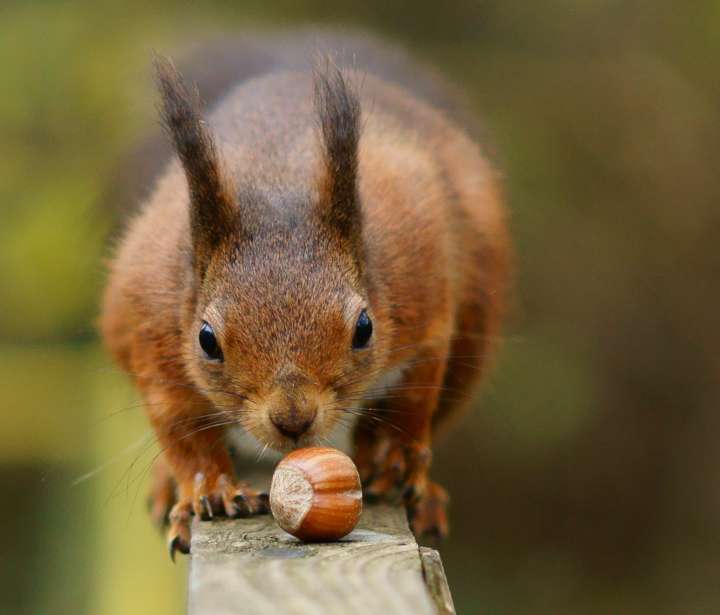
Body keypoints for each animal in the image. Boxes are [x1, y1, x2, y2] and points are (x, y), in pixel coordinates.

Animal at [100, 33, 512, 560]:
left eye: (364, 329)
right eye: (207, 340)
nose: (293, 419)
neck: (277, 184)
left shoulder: (424, 302)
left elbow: (414, 398)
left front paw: (395, 456)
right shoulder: (154, 337)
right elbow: (181, 433)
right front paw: (210, 490)